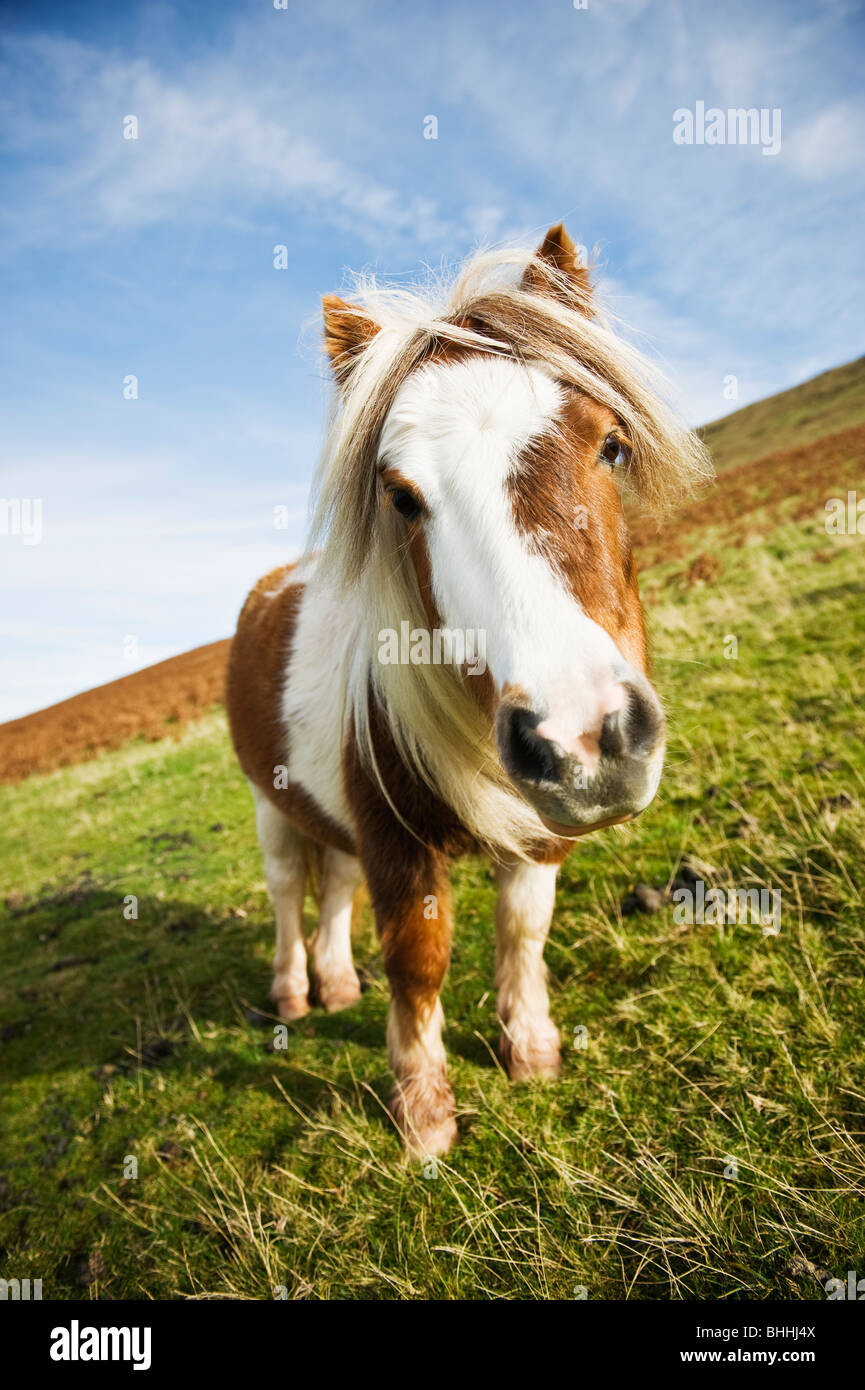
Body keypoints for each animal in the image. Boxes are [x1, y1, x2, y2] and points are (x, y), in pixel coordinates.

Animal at [226, 225, 717, 1150]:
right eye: (401, 496)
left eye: (611, 444)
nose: (585, 740)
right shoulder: (395, 841)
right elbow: (417, 962)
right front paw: (424, 1116)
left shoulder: (529, 831)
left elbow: (522, 932)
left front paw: (530, 1050)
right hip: (273, 806)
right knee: (286, 896)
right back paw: (294, 993)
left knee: (332, 889)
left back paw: (335, 985)